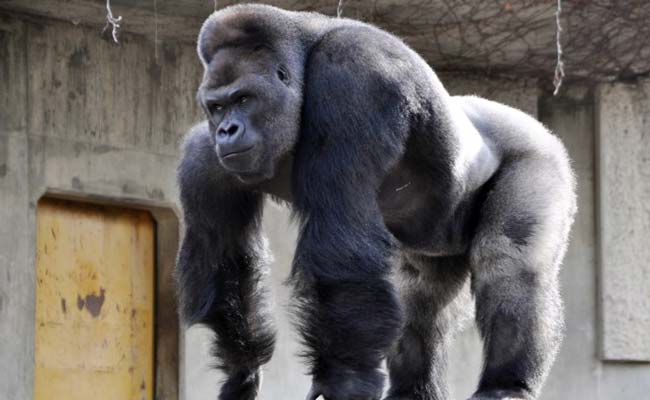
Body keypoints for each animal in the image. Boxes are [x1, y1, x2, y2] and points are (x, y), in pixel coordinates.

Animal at [175, 4, 577, 400]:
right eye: (216, 107)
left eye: (244, 99)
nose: (227, 131)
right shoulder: (203, 159)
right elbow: (229, 264)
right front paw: (241, 373)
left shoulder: (353, 76)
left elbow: (342, 249)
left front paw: (345, 377)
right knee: (418, 294)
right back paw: (413, 389)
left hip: (540, 155)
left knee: (509, 262)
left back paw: (506, 384)